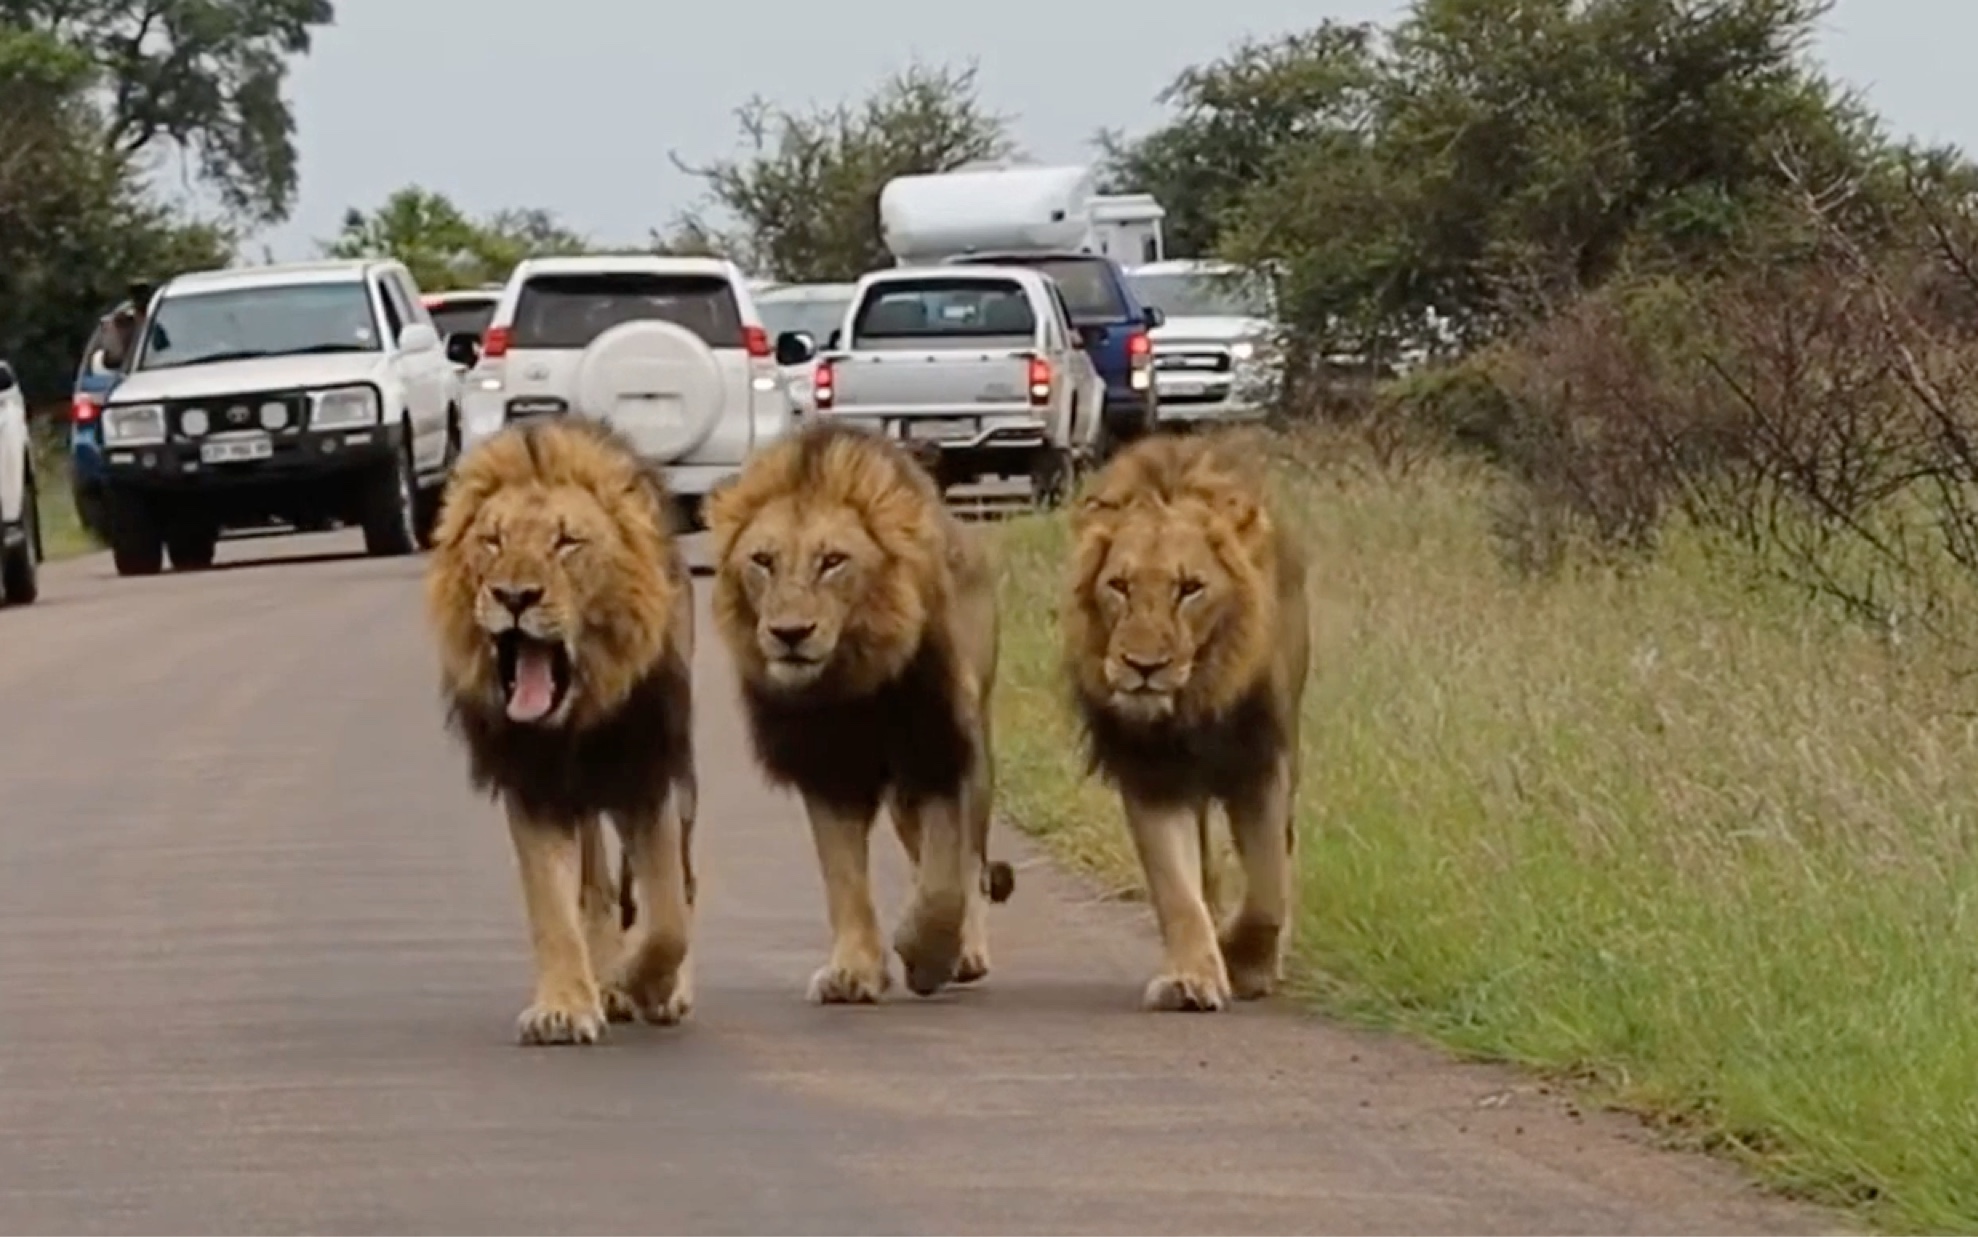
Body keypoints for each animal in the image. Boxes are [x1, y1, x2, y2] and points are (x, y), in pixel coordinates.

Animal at [421, 417, 700, 1045]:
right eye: (493, 541)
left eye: (567, 542)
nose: (514, 596)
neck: (574, 720)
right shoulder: (535, 786)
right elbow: (552, 907)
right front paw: (566, 1006)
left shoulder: (647, 775)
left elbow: (668, 917)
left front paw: (643, 985)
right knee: (596, 891)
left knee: (683, 881)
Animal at [708, 419, 1012, 997]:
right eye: (762, 561)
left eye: (833, 562)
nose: (790, 634)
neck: (849, 681)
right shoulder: (827, 764)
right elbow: (843, 873)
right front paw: (854, 969)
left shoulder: (939, 746)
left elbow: (947, 875)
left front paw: (926, 955)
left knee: (972, 862)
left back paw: (969, 952)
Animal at [1068, 429, 1313, 1009]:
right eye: (1119, 586)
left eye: (1190, 589)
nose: (1143, 667)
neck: (1194, 702)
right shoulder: (1153, 773)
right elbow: (1177, 888)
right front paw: (1192, 976)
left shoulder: (1261, 761)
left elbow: (1269, 880)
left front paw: (1246, 960)